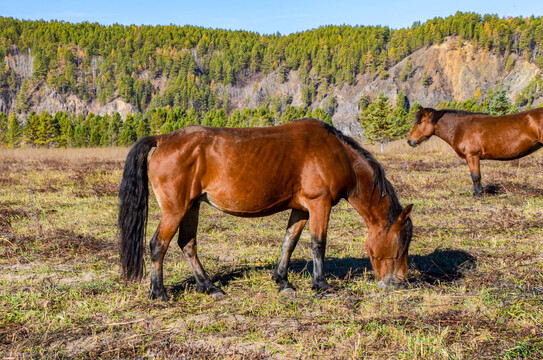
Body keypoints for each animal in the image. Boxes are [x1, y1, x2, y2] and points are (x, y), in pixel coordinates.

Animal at [119, 119, 414, 300]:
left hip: (191, 207)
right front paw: (321, 285)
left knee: (187, 244)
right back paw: (159, 292)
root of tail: (162, 139)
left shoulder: (302, 209)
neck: (337, 154)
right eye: (401, 245)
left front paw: (283, 281)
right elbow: (318, 244)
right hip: (176, 209)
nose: (399, 283)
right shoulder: (319, 204)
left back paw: (209, 287)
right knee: (158, 244)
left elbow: (289, 242)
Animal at [408, 107, 543, 195]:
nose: (410, 141)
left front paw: (478, 194)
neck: (461, 128)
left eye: (419, 123)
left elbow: (475, 176)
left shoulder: (472, 156)